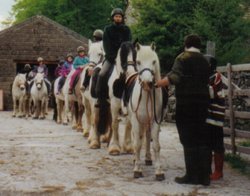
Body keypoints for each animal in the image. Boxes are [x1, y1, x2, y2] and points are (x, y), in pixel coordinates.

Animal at [122, 42, 167, 181]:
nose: (147, 83)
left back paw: (147, 158)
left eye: (154, 61)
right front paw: (137, 169)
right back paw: (135, 159)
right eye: (139, 61)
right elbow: (137, 144)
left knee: (147, 136)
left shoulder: (155, 121)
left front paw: (159, 171)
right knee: (137, 137)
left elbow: (156, 145)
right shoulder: (136, 121)